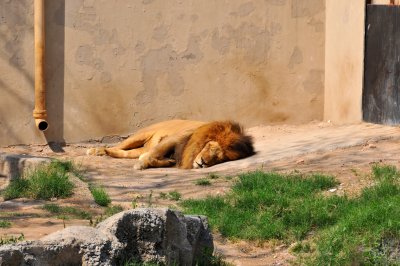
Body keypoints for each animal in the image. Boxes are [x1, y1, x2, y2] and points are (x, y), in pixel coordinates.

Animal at [88, 120, 256, 169]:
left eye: (220, 159)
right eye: (209, 146)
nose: (203, 163)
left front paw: (166, 162)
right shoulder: (174, 139)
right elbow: (152, 155)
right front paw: (141, 164)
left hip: (136, 149)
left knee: (124, 152)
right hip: (139, 136)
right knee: (118, 146)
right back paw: (96, 151)